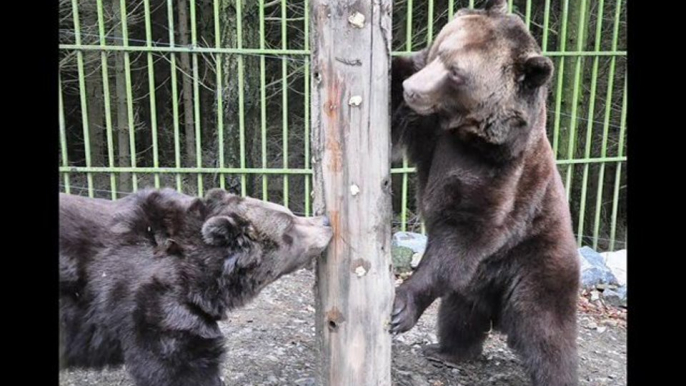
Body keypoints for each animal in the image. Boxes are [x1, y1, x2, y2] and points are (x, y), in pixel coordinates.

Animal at [392, 0, 580, 386]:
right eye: (440, 49)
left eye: (456, 73)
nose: (411, 89)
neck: (469, 134)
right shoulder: (429, 133)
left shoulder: (500, 174)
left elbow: (464, 232)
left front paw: (401, 305)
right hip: (474, 283)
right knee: (459, 314)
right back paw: (447, 351)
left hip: (538, 259)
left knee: (546, 328)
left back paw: (556, 373)